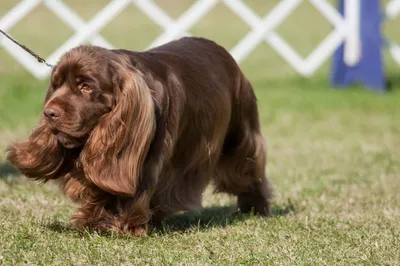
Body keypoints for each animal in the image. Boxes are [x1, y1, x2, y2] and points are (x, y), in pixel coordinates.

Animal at [6, 37, 274, 235]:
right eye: (56, 84)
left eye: (85, 86)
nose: (49, 113)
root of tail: (226, 55)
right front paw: (96, 219)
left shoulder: (142, 156)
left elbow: (131, 189)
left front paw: (122, 224)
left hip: (239, 136)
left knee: (248, 170)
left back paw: (255, 207)